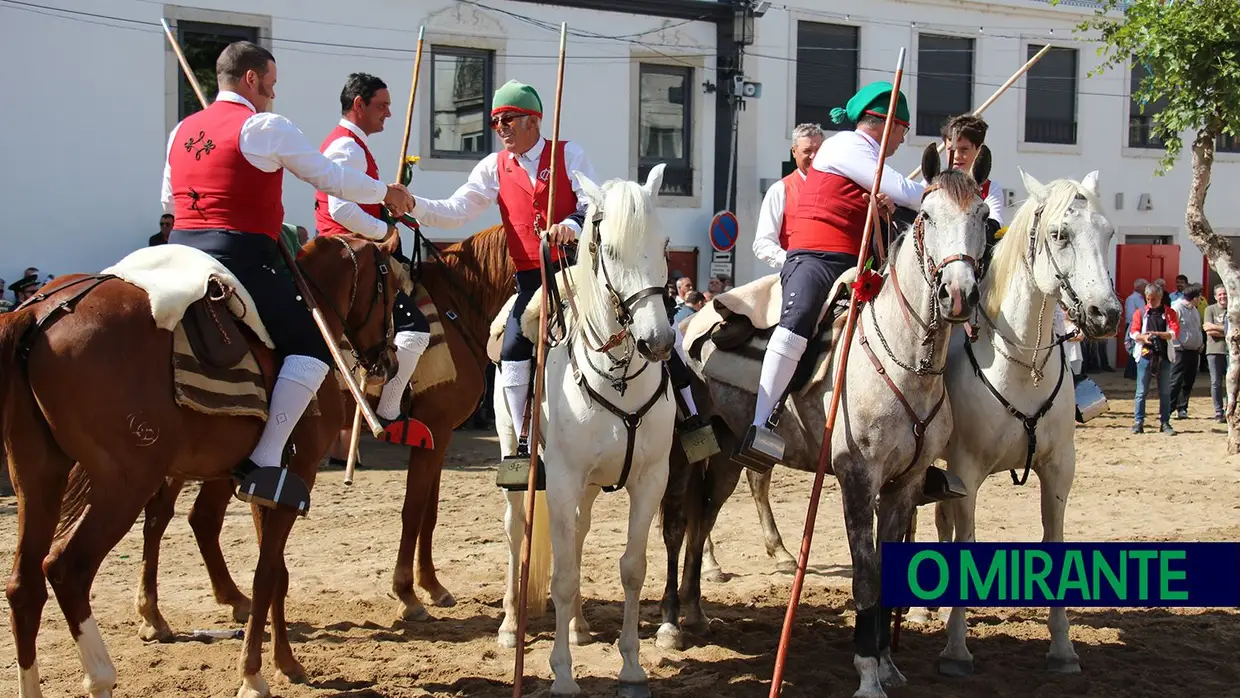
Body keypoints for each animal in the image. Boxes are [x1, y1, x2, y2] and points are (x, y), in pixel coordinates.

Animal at [0, 236, 401, 698]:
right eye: (392, 288)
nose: (388, 362)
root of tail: (36, 314)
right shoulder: (297, 476)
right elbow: (267, 573)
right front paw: (253, 674)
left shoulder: (259, 483)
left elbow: (276, 573)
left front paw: (285, 663)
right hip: (125, 483)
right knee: (68, 568)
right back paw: (103, 673)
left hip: (38, 477)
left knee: (24, 586)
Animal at [125, 225, 513, 644]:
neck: (456, 308)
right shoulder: (436, 432)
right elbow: (415, 510)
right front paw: (409, 594)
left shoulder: (438, 438)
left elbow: (430, 510)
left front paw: (432, 586)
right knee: (175, 517)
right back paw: (172, 611)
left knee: (190, 518)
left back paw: (206, 605)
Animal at [491, 164, 674, 698]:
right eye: (608, 249)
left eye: (663, 243)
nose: (658, 341)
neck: (618, 376)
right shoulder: (562, 479)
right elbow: (564, 576)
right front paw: (563, 675)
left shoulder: (650, 480)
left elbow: (632, 568)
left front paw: (632, 667)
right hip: (520, 464)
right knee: (517, 532)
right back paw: (509, 626)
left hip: (590, 487)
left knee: (578, 533)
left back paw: (577, 626)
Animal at [912, 166, 1125, 674]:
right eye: (1060, 234)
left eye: (1108, 233)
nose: (1106, 315)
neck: (1021, 363)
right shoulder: (966, 470)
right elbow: (966, 541)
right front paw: (956, 649)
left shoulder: (1059, 468)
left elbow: (1054, 540)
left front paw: (1063, 649)